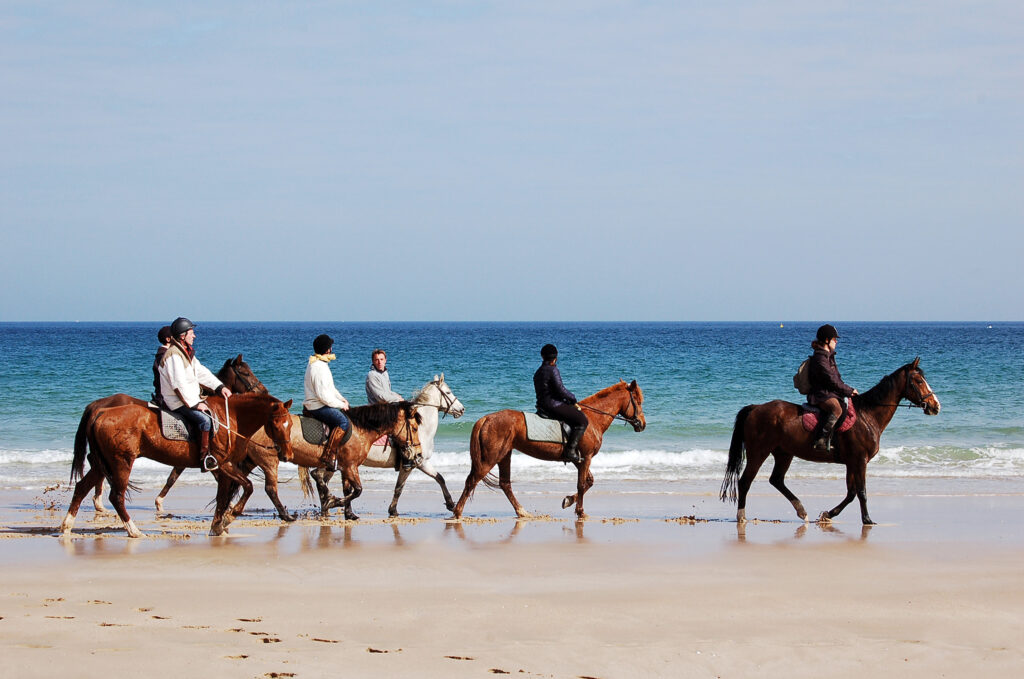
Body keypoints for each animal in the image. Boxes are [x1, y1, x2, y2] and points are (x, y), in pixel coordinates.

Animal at [62, 391, 292, 540]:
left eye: (289, 424)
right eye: (276, 424)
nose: (287, 454)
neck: (230, 419)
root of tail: (100, 412)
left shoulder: (223, 468)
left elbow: (222, 497)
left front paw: (218, 526)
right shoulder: (223, 465)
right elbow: (247, 487)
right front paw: (228, 518)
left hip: (103, 463)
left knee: (82, 487)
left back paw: (66, 526)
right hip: (121, 462)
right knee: (116, 496)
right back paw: (133, 530)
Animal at [299, 374, 468, 518]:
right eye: (448, 392)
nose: (462, 409)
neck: (420, 428)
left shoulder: (420, 462)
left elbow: (438, 478)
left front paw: (450, 504)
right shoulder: (415, 463)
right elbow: (402, 487)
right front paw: (393, 510)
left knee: (324, 481)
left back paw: (330, 510)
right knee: (319, 477)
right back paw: (330, 506)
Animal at [452, 376, 643, 520]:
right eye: (638, 401)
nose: (642, 424)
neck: (593, 418)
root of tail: (486, 418)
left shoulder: (579, 459)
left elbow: (588, 481)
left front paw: (568, 501)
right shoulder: (586, 457)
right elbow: (582, 484)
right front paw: (580, 512)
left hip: (504, 455)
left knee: (505, 484)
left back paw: (522, 512)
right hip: (490, 458)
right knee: (472, 480)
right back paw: (457, 512)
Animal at [716, 358, 937, 528]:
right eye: (918, 380)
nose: (935, 406)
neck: (868, 415)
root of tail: (755, 408)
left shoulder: (852, 463)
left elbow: (851, 493)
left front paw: (827, 515)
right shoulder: (860, 460)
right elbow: (862, 492)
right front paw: (867, 519)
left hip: (784, 453)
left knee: (776, 480)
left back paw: (802, 511)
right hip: (759, 452)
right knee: (745, 481)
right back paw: (742, 516)